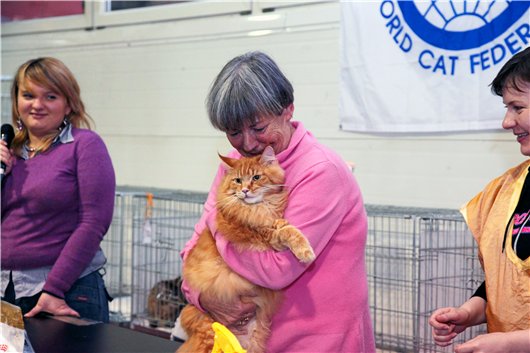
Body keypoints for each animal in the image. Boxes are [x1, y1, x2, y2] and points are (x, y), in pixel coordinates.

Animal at [176, 145, 314, 352]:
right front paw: (306, 252)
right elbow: (286, 233)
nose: (245, 190)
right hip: (209, 334)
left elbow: (288, 228)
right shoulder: (265, 236)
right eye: (238, 180)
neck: (258, 208)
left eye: (256, 177)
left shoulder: (274, 223)